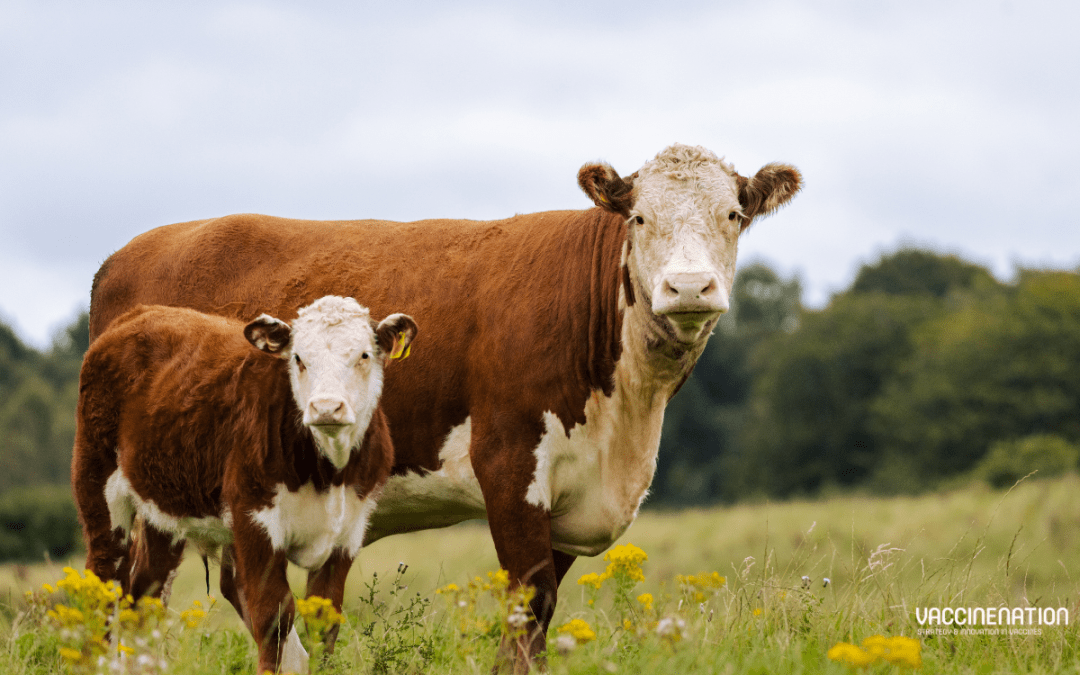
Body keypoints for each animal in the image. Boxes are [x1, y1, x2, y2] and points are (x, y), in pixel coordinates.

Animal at [72, 296, 417, 674]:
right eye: (298, 358)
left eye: (364, 355)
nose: (326, 407)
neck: (329, 472)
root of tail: (142, 313)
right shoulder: (254, 519)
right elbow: (273, 615)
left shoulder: (348, 531)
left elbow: (324, 621)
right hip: (98, 487)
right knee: (102, 585)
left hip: (163, 509)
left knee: (144, 596)